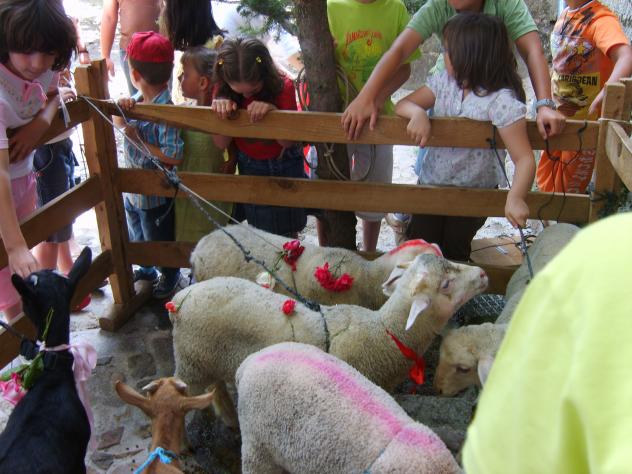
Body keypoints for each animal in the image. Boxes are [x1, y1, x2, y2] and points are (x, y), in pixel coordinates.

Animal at [171, 253, 488, 427]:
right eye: (446, 284)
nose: (483, 273)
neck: (384, 333)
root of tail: (180, 298)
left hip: (205, 358)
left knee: (216, 386)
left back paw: (229, 419)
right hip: (191, 363)